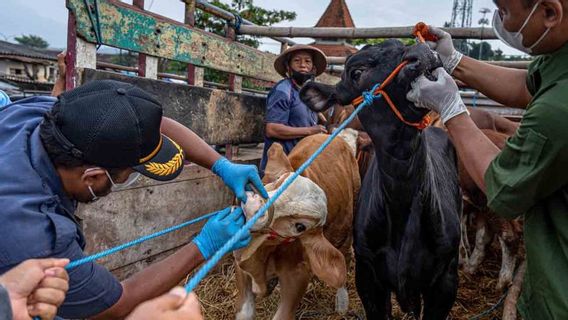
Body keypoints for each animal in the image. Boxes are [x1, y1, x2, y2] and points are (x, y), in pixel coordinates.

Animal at [234, 133, 360, 320]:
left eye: (300, 227)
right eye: (278, 181)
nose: (253, 206)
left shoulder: (297, 275)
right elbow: (245, 313)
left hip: (349, 220)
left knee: (345, 256)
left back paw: (342, 302)